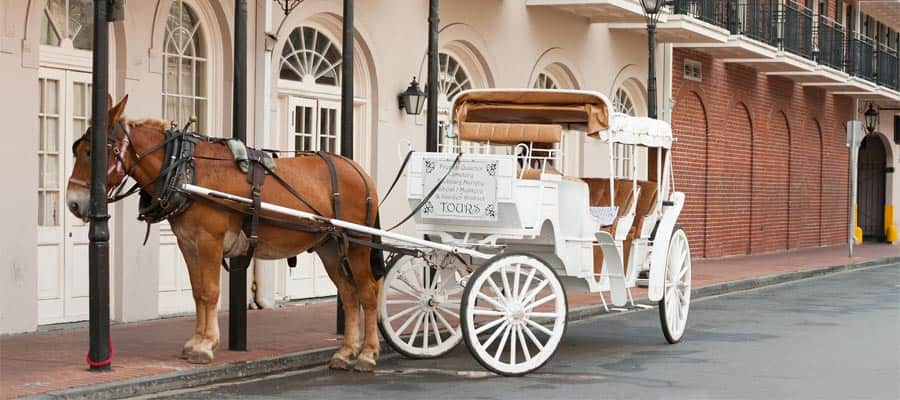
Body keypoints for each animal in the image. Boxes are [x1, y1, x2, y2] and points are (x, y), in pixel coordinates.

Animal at [67, 97, 384, 372]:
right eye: (78, 149)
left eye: (91, 152)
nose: (73, 203)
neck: (186, 170)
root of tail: (359, 171)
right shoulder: (188, 243)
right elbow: (197, 292)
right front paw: (196, 341)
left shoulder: (209, 239)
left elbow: (210, 291)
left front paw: (206, 345)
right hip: (330, 247)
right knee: (348, 294)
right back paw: (345, 351)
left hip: (357, 245)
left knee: (368, 293)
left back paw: (367, 353)